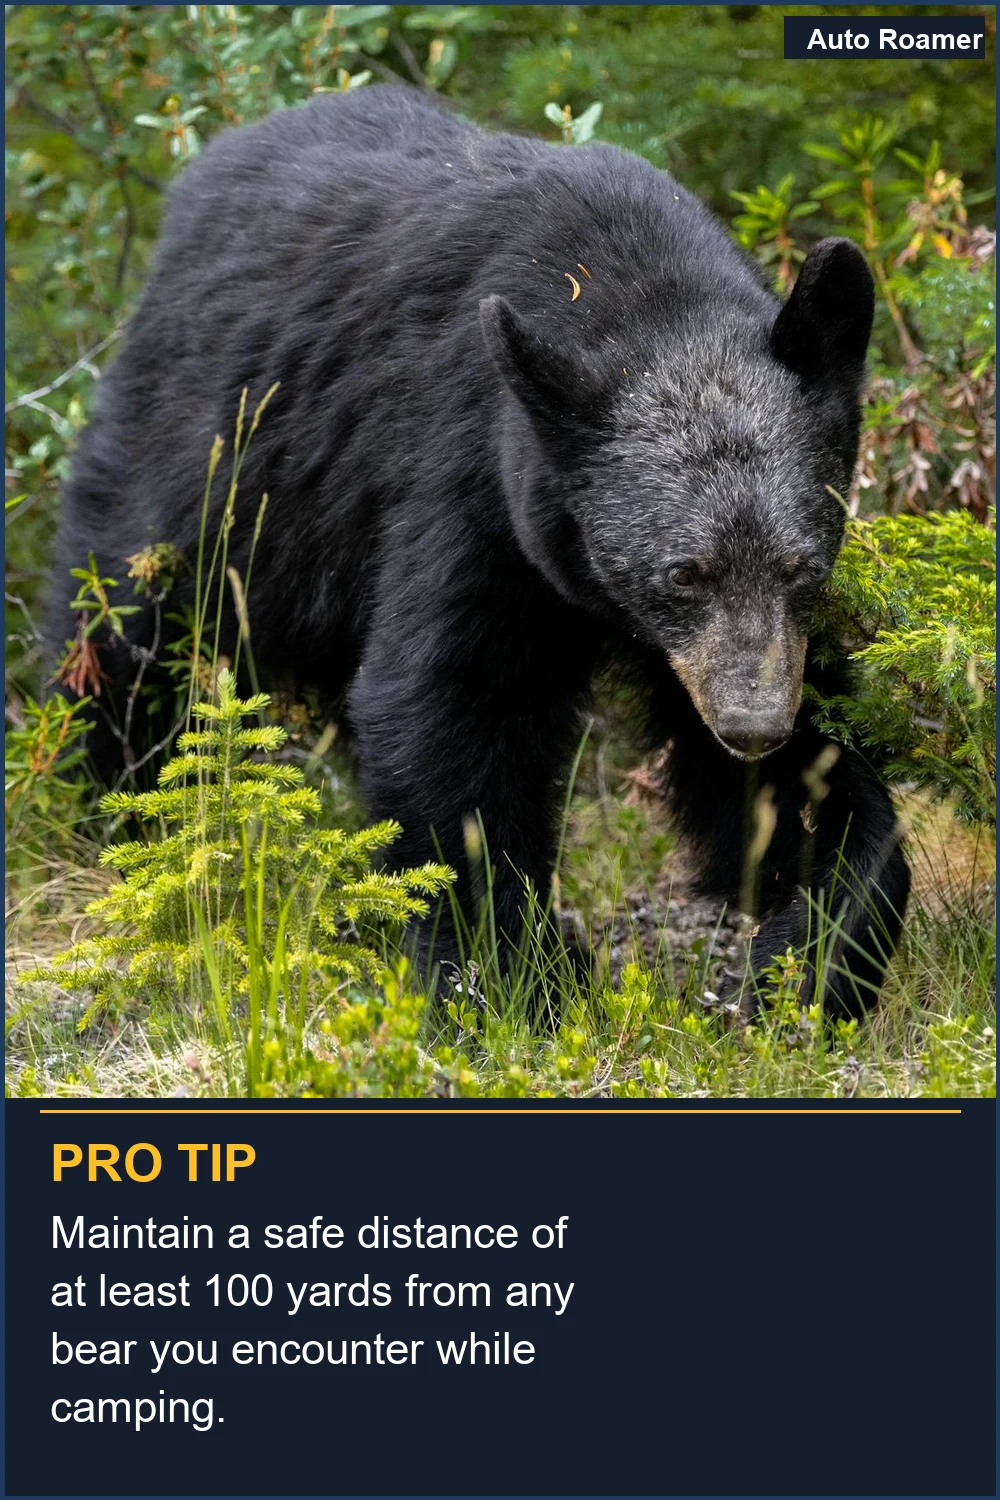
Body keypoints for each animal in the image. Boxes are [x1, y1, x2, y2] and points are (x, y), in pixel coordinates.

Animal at [50, 84, 910, 1014]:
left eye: (801, 564)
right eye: (684, 573)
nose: (753, 726)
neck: (637, 291)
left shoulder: (742, 641)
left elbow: (810, 770)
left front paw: (809, 951)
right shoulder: (470, 478)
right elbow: (452, 703)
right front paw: (508, 975)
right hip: (207, 462)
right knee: (123, 629)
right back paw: (118, 811)